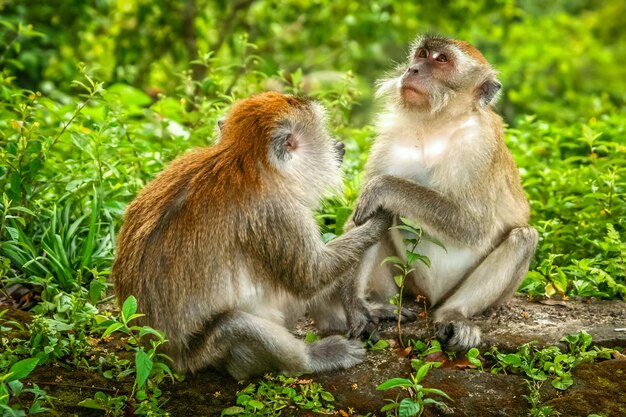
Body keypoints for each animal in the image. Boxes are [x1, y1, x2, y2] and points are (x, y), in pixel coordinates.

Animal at [109, 92, 388, 380]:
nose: (338, 145)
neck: (245, 160)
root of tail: (163, 354)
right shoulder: (277, 211)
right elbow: (312, 275)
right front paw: (380, 221)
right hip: (204, 354)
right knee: (236, 324)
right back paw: (311, 359)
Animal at [348, 33, 540, 352]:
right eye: (422, 54)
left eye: (442, 60)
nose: (412, 69)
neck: (435, 124)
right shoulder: (389, 135)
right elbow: (360, 218)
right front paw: (352, 308)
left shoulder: (480, 146)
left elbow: (474, 226)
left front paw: (383, 187)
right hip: (410, 286)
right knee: (381, 217)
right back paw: (375, 305)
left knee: (523, 238)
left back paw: (454, 314)